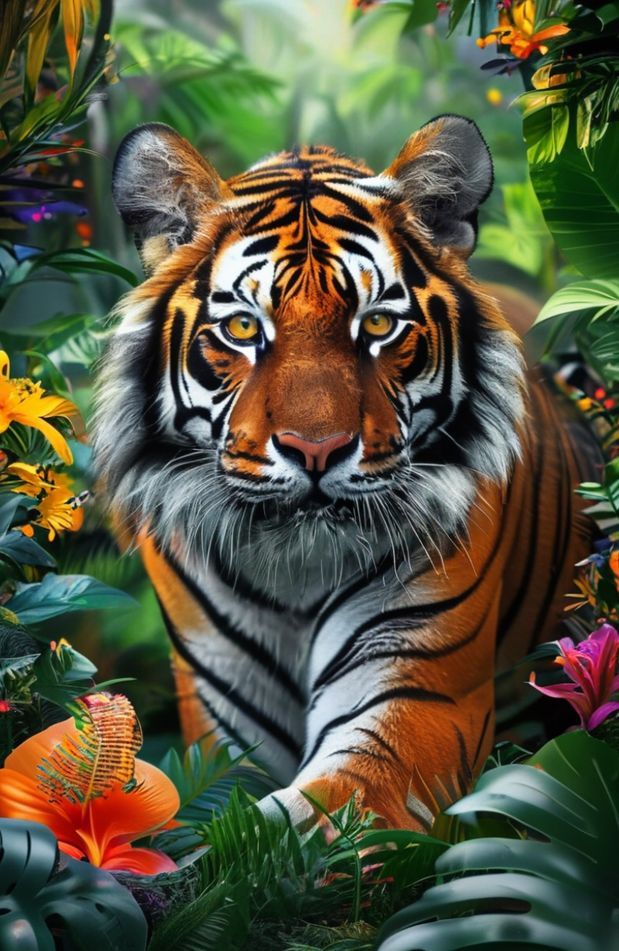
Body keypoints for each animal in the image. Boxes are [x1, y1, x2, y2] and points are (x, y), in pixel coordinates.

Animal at [93, 114, 598, 830]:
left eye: (379, 322)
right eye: (242, 327)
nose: (316, 450)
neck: (295, 576)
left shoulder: (416, 696)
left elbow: (301, 826)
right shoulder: (220, 725)